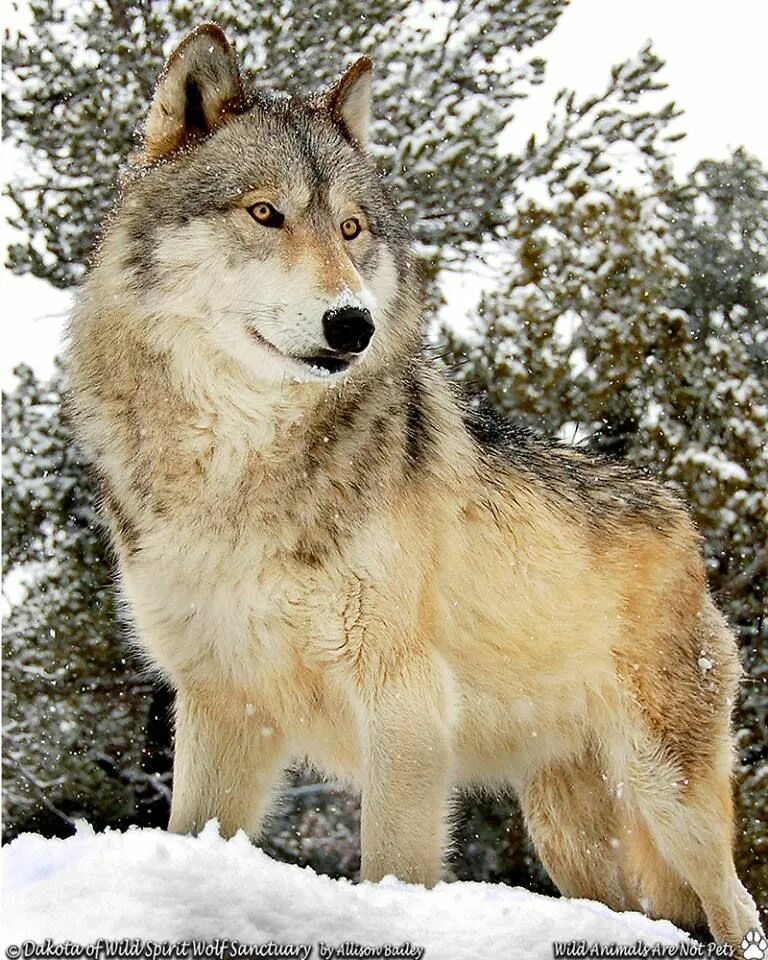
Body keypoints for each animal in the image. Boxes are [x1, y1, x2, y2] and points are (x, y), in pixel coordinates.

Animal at [67, 22, 760, 952]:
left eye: (353, 228)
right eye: (265, 213)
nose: (351, 323)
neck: (240, 465)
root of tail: (682, 518)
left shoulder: (403, 703)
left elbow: (394, 863)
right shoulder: (221, 704)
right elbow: (196, 832)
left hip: (669, 797)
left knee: (737, 907)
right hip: (571, 836)